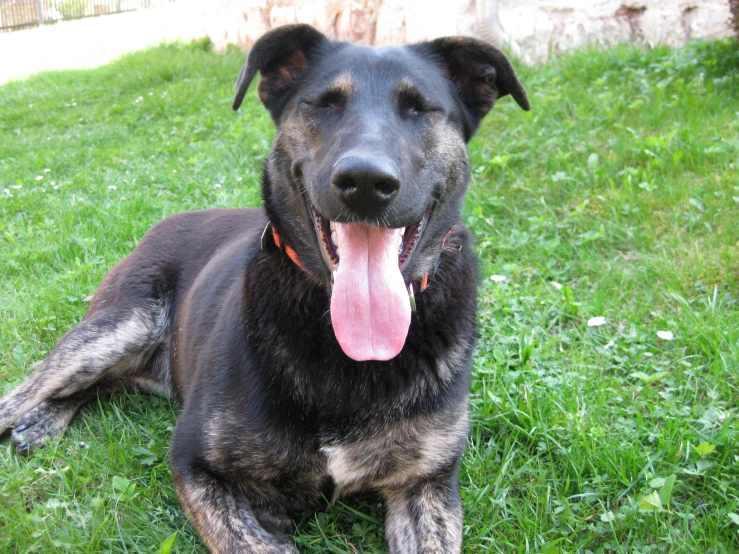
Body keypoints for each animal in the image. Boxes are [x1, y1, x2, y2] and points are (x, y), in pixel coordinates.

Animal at [1, 23, 532, 548]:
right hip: (120, 327)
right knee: (29, 386)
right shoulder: (193, 462)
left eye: (420, 108)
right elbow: (246, 539)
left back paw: (42, 422)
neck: (344, 346)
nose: (364, 181)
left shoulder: (427, 483)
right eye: (324, 103)